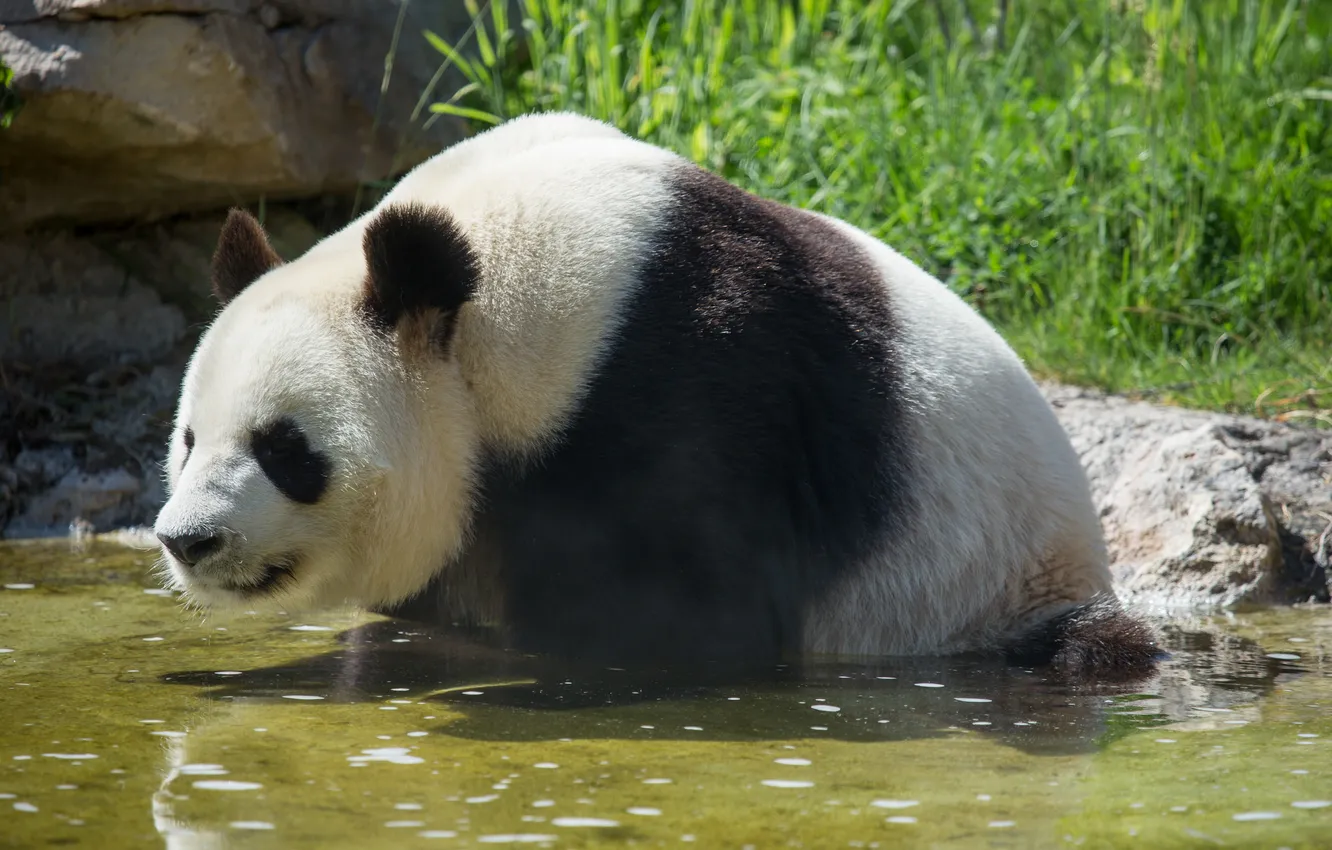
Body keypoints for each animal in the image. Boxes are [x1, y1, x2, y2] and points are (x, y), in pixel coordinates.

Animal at [152, 112, 1159, 680]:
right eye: (190, 440)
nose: (187, 540)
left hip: (989, 588)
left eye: (287, 449)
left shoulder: (684, 385)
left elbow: (692, 619)